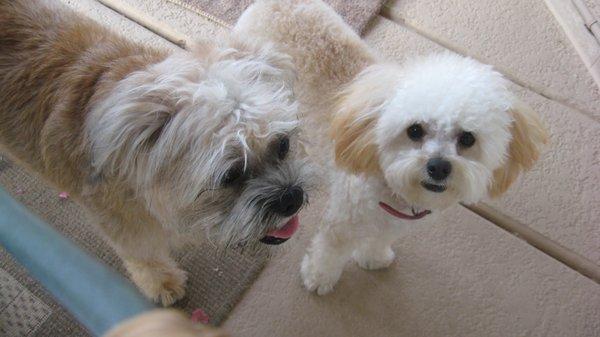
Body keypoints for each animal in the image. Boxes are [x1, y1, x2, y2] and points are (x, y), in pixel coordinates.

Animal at [0, 0, 310, 304]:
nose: (291, 198)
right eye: (230, 175)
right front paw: (162, 282)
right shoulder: (128, 231)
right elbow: (145, 258)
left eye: (283, 144)